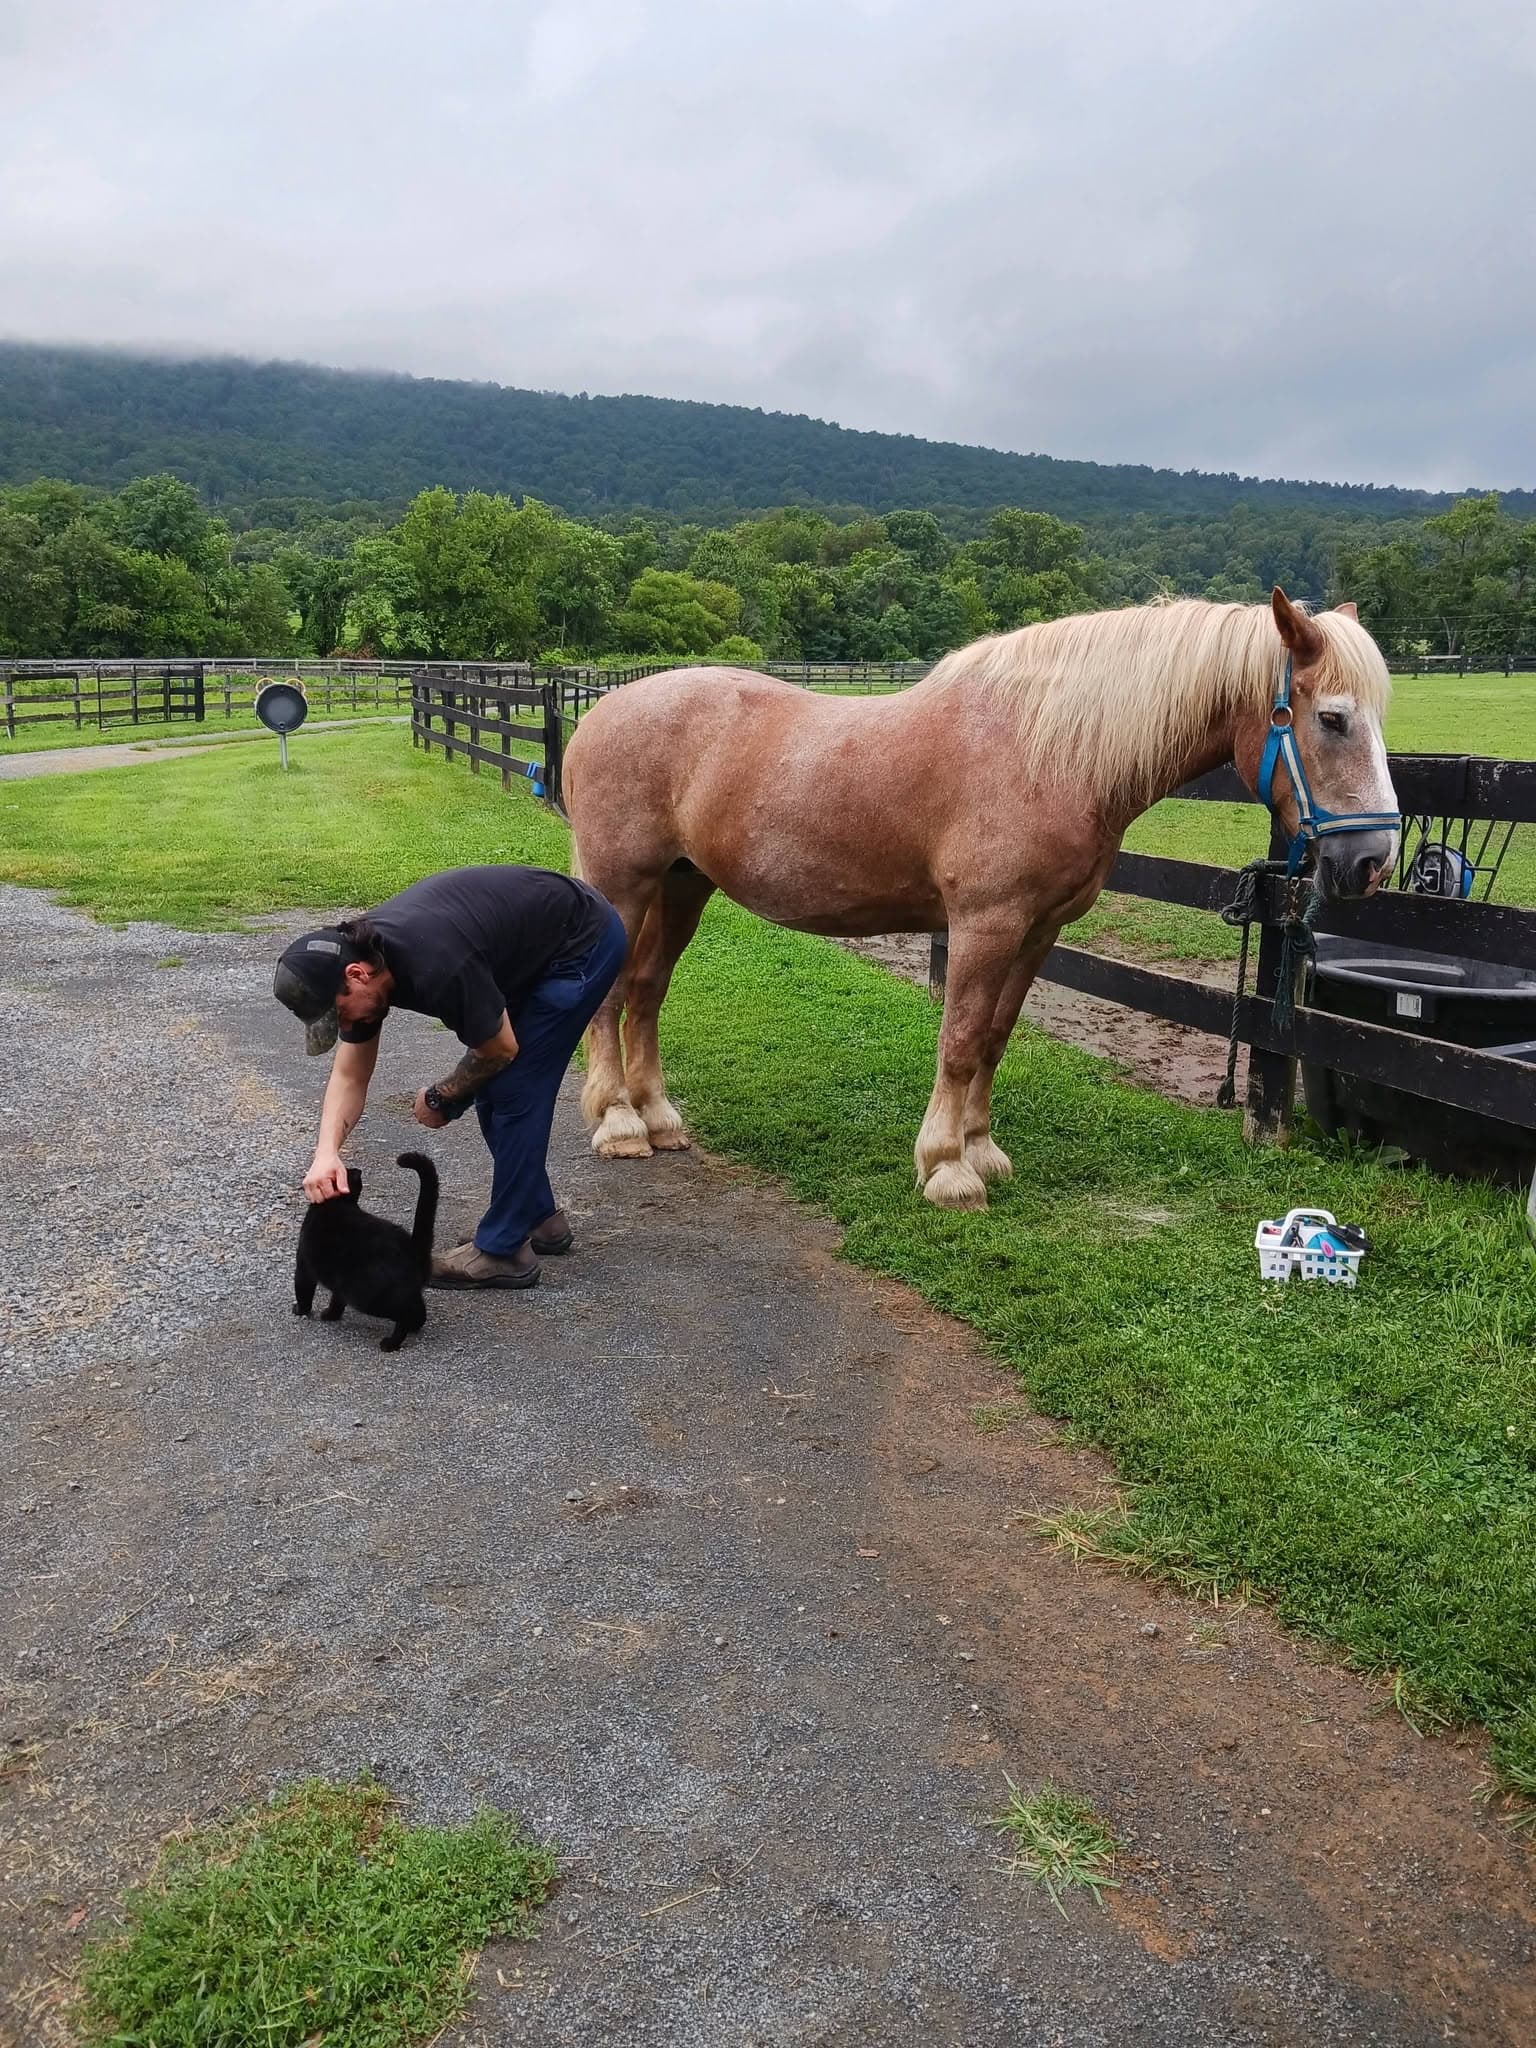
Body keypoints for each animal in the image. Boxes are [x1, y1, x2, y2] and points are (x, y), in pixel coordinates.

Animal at [561, 589, 1399, 1210]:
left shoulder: (1038, 932)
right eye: (1332, 718)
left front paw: (982, 1152)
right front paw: (946, 1169)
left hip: (683, 885)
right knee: (611, 995)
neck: (1044, 749)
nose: (1371, 862)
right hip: (623, 884)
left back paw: (658, 1116)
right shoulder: (983, 926)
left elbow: (994, 1039)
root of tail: (599, 711)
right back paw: (618, 1123)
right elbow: (960, 1041)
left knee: (647, 989)